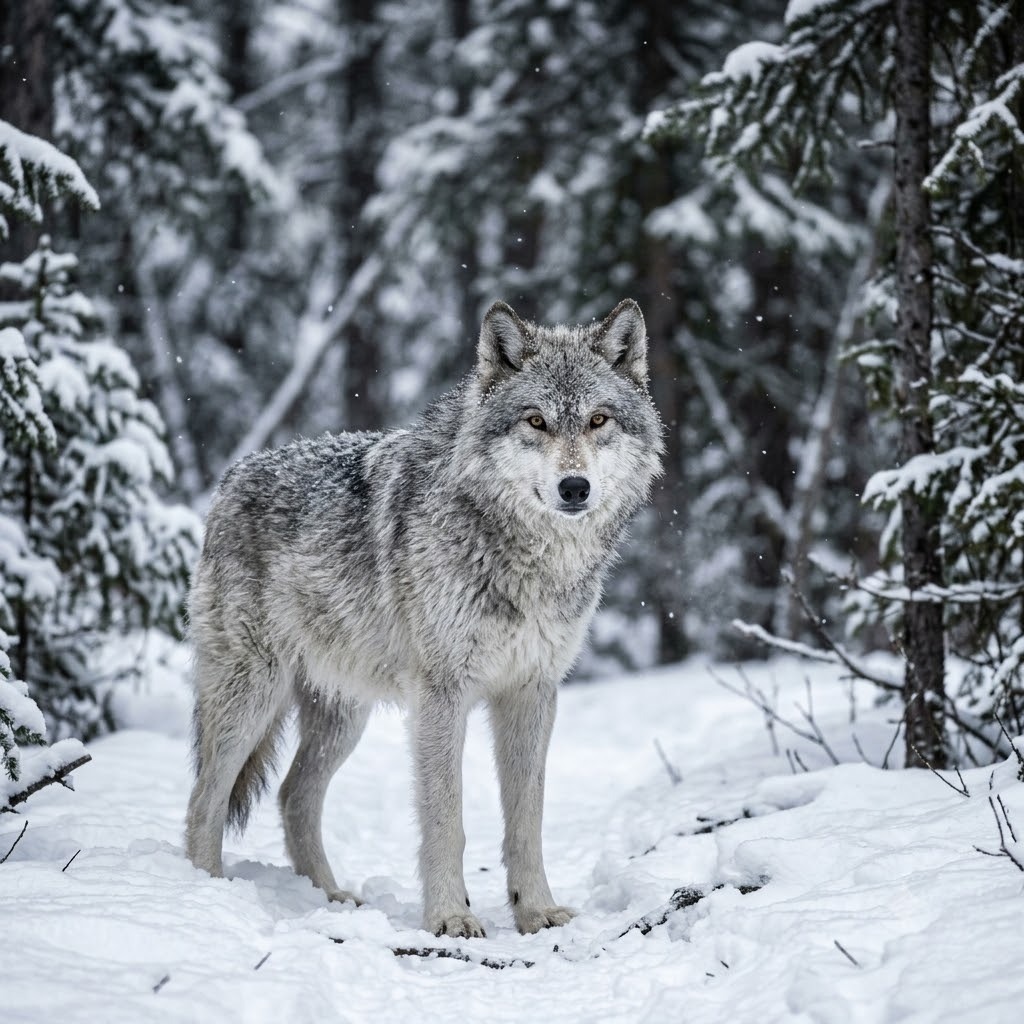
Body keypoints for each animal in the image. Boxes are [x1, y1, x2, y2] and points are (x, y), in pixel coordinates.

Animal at [184, 298, 664, 937]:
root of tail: (228, 481)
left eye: (598, 420)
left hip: (342, 716)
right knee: (204, 800)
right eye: (536, 421)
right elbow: (446, 818)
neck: (526, 558)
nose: (574, 487)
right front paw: (449, 916)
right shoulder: (442, 694)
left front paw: (535, 911)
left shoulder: (532, 691)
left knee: (293, 796)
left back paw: (330, 899)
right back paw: (207, 897)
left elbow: (527, 819)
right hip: (252, 696)